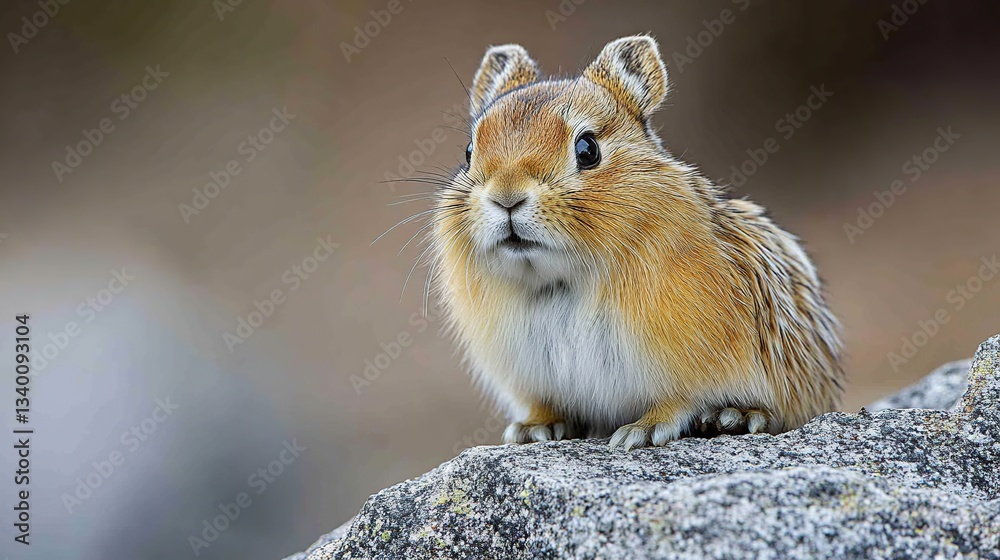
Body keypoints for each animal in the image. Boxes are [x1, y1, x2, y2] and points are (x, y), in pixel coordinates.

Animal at [427, 35, 844, 451]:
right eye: (469, 151)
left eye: (587, 149)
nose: (507, 197)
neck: (565, 278)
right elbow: (546, 406)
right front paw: (531, 430)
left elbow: (678, 400)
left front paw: (640, 432)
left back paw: (733, 418)